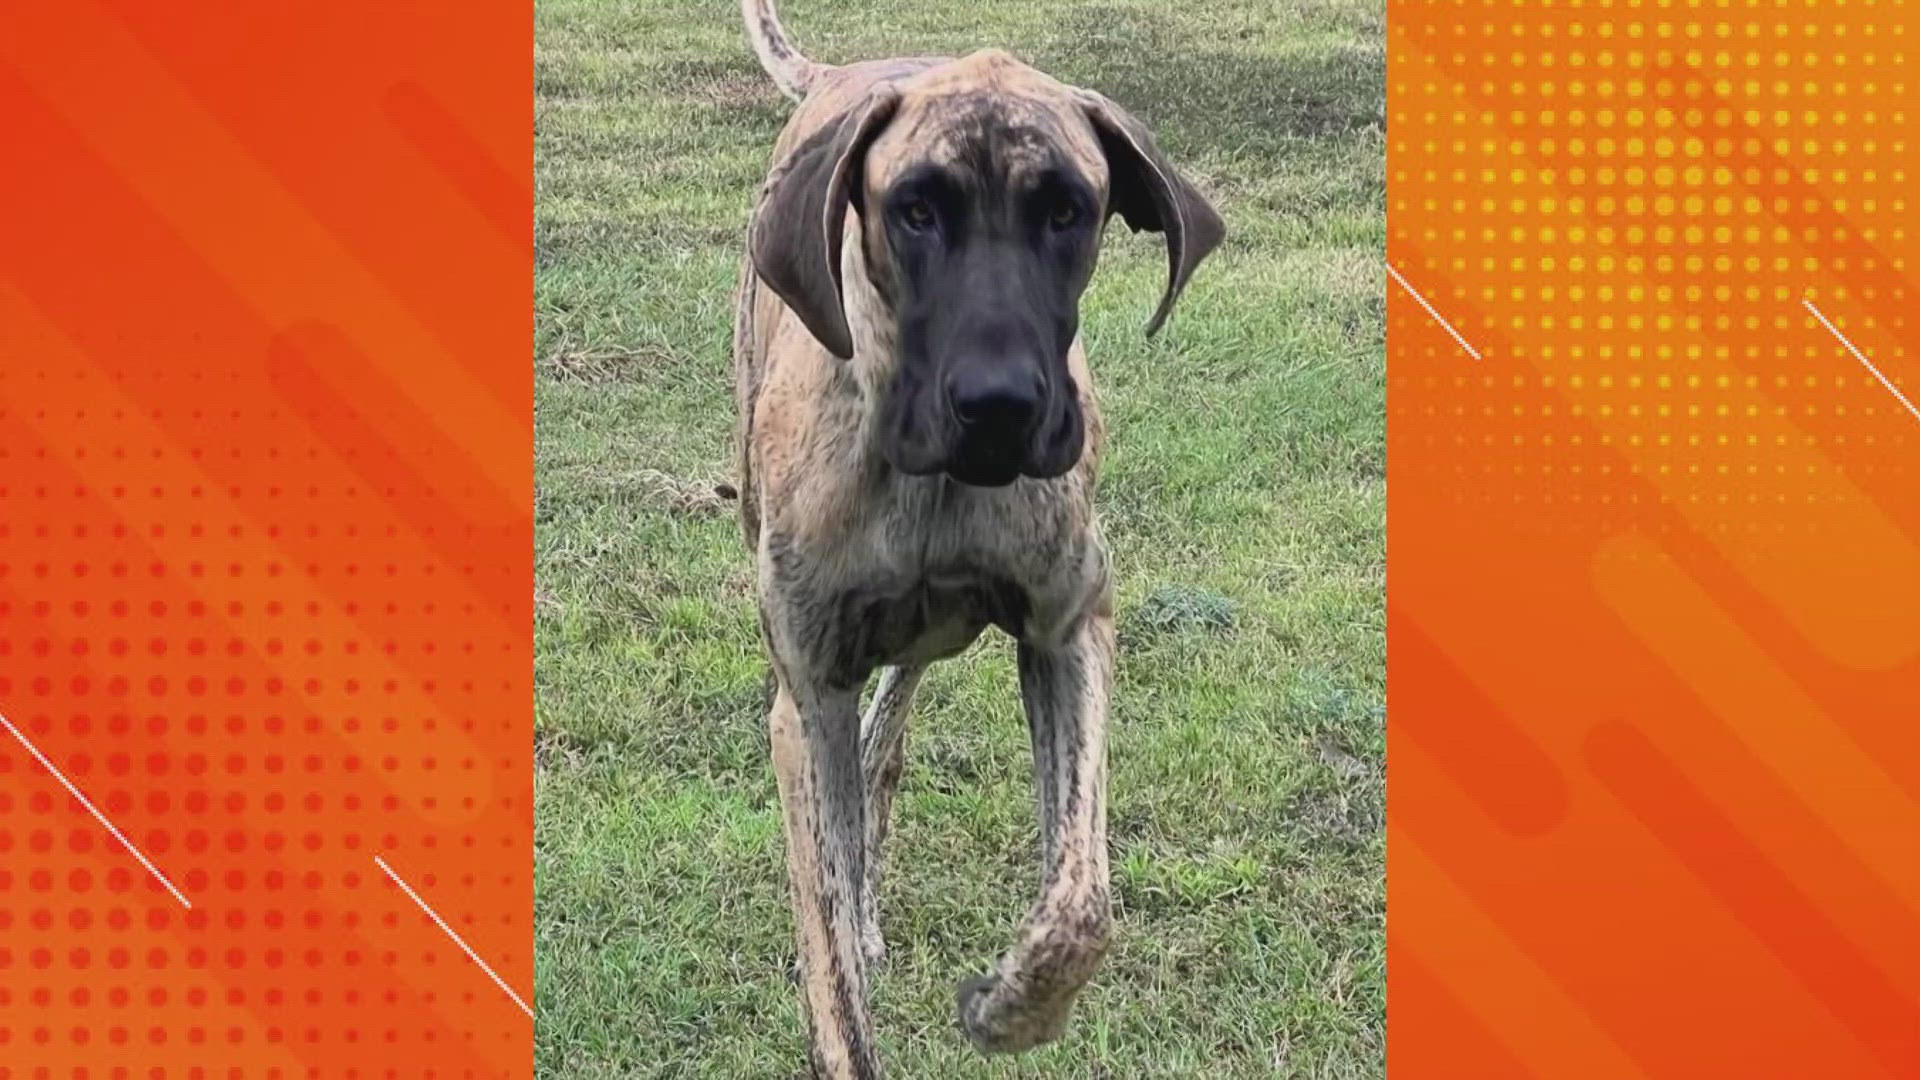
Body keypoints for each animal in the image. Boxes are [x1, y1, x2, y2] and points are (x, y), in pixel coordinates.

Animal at [725, 0, 1221, 1068]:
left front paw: (1013, 1006)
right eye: (914, 210)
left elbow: (1083, 899)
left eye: (1069, 211)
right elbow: (832, 966)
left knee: (888, 736)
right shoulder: (806, 692)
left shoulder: (1070, 627)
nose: (1000, 405)